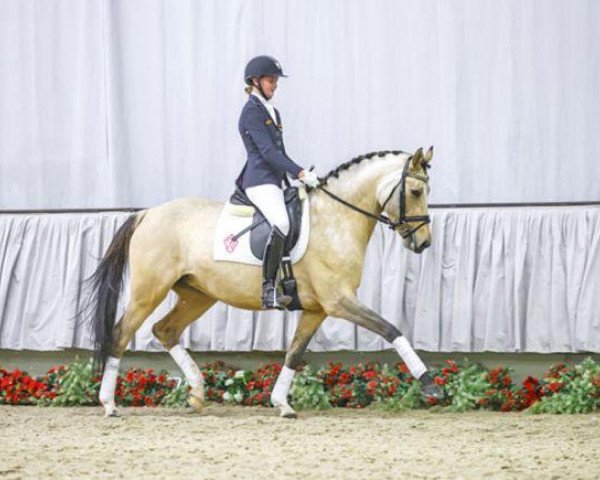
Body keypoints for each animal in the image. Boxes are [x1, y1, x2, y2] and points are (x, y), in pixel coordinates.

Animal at [90, 145, 446, 416]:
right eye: (416, 191)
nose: (424, 242)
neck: (336, 219)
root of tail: (147, 213)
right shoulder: (338, 301)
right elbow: (391, 329)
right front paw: (429, 384)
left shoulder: (317, 309)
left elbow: (294, 353)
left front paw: (281, 403)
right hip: (148, 291)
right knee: (121, 333)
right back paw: (109, 405)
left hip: (198, 294)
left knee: (165, 330)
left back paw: (197, 393)